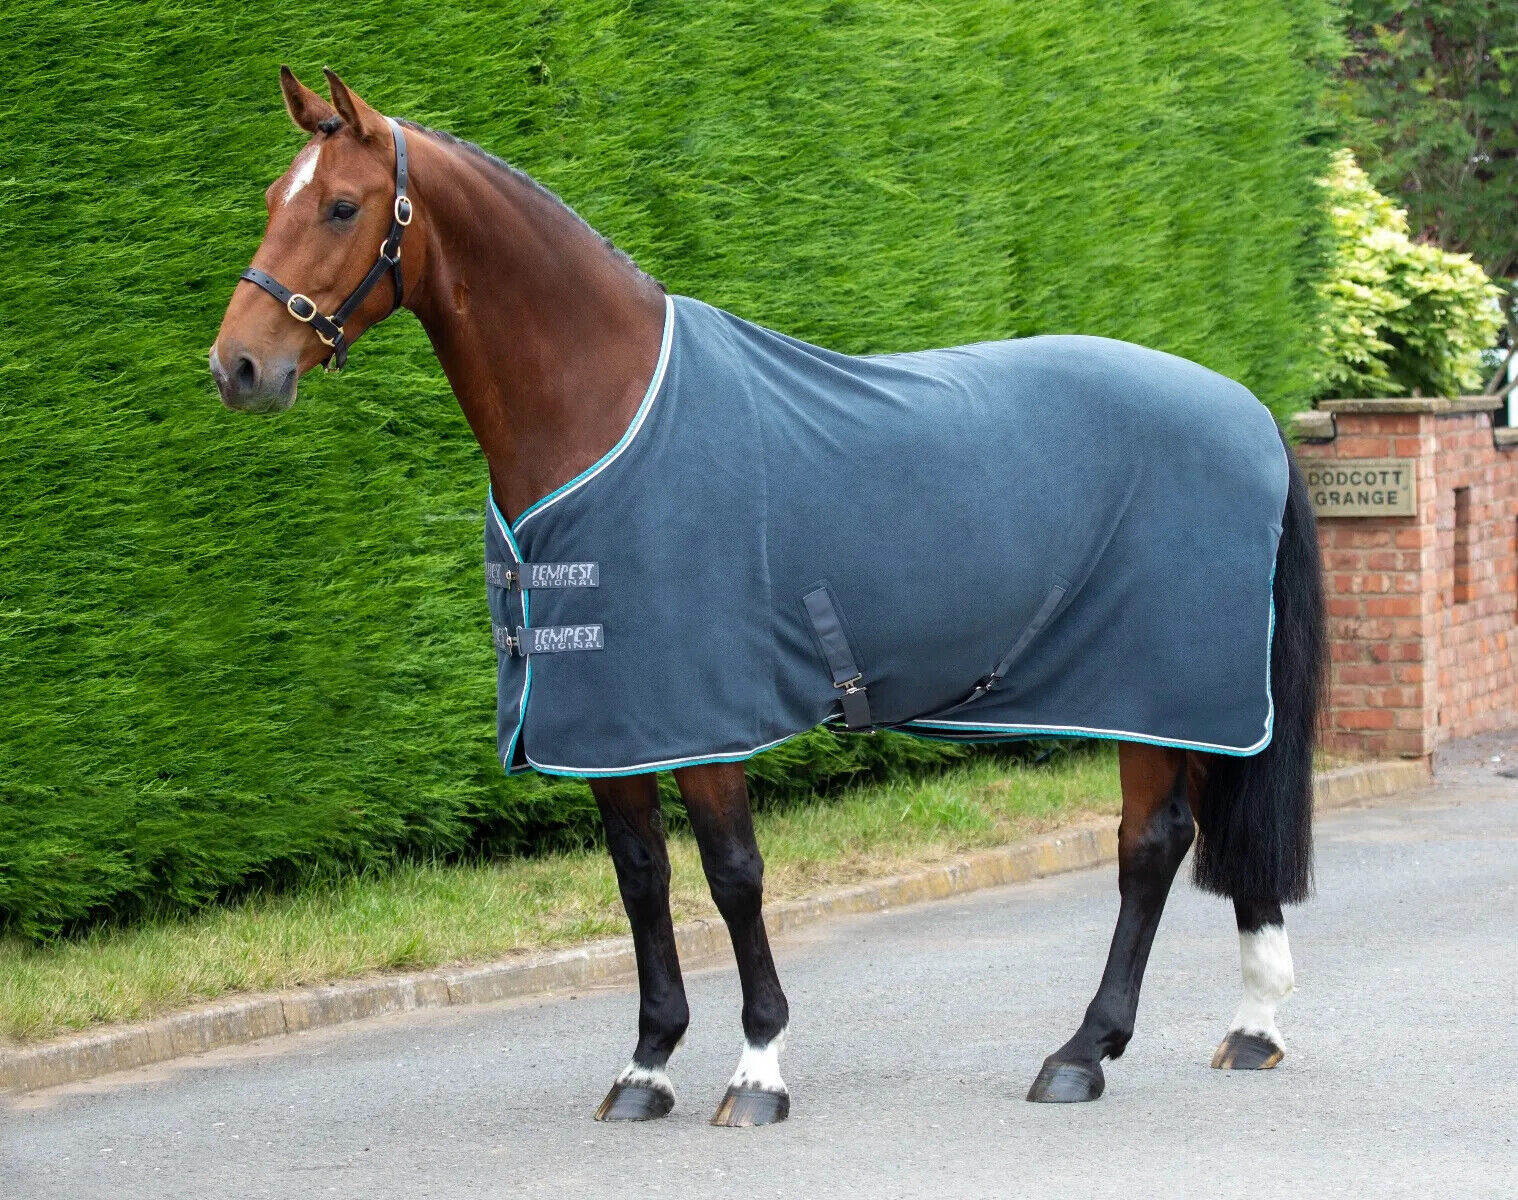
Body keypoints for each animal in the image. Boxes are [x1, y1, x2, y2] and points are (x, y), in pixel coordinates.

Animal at [211, 69, 1324, 1127]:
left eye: (343, 207)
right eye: (271, 198)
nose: (239, 366)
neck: (605, 406)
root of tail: (1247, 411)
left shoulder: (704, 716)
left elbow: (734, 876)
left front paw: (757, 1069)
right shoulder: (611, 718)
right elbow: (641, 877)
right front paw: (646, 1065)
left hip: (1161, 689)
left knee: (1151, 847)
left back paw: (1083, 1053)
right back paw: (1253, 1027)